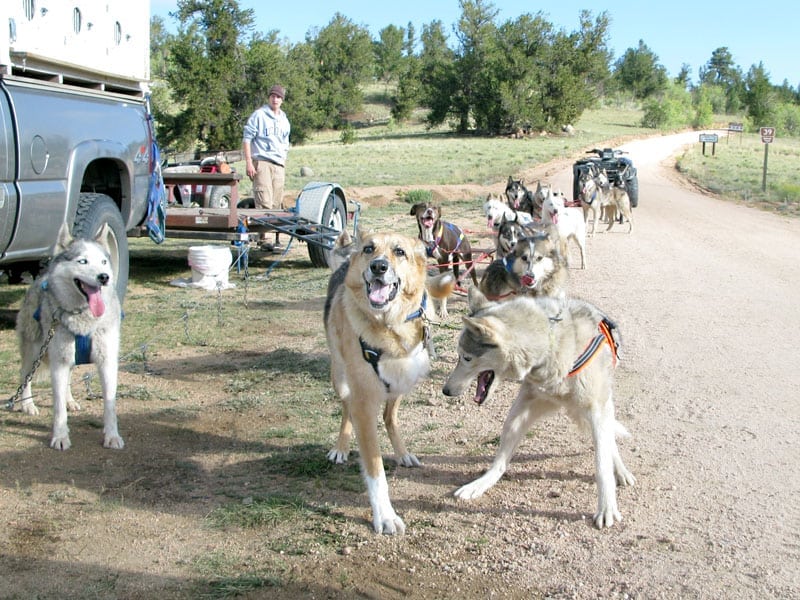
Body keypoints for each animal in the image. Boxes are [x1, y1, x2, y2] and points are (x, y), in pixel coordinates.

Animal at [322, 230, 454, 536]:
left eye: (400, 252)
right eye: (369, 249)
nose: (378, 267)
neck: (389, 326)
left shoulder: (402, 377)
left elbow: (388, 419)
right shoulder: (362, 403)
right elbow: (375, 469)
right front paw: (385, 516)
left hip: (403, 383)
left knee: (390, 416)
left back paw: (402, 453)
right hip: (340, 377)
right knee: (345, 410)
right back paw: (341, 448)